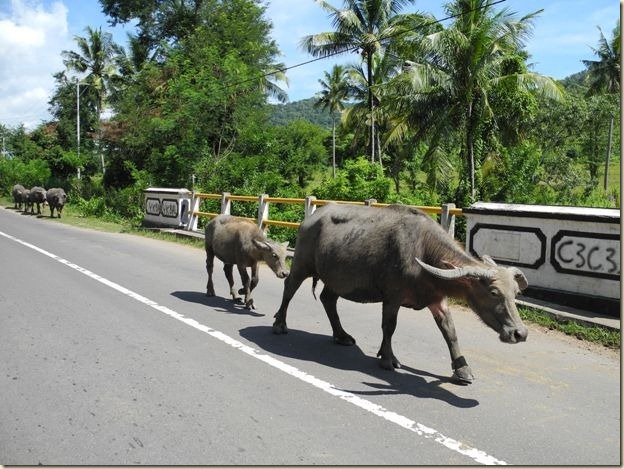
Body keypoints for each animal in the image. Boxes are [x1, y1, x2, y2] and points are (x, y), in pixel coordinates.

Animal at [270, 203, 528, 382]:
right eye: (493, 292)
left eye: (515, 292)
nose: (520, 333)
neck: (424, 250)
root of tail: (309, 219)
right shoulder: (392, 297)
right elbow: (389, 327)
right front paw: (387, 358)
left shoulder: (437, 300)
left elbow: (450, 332)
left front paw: (462, 369)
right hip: (302, 264)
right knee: (289, 288)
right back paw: (279, 324)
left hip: (335, 278)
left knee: (328, 300)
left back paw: (341, 335)